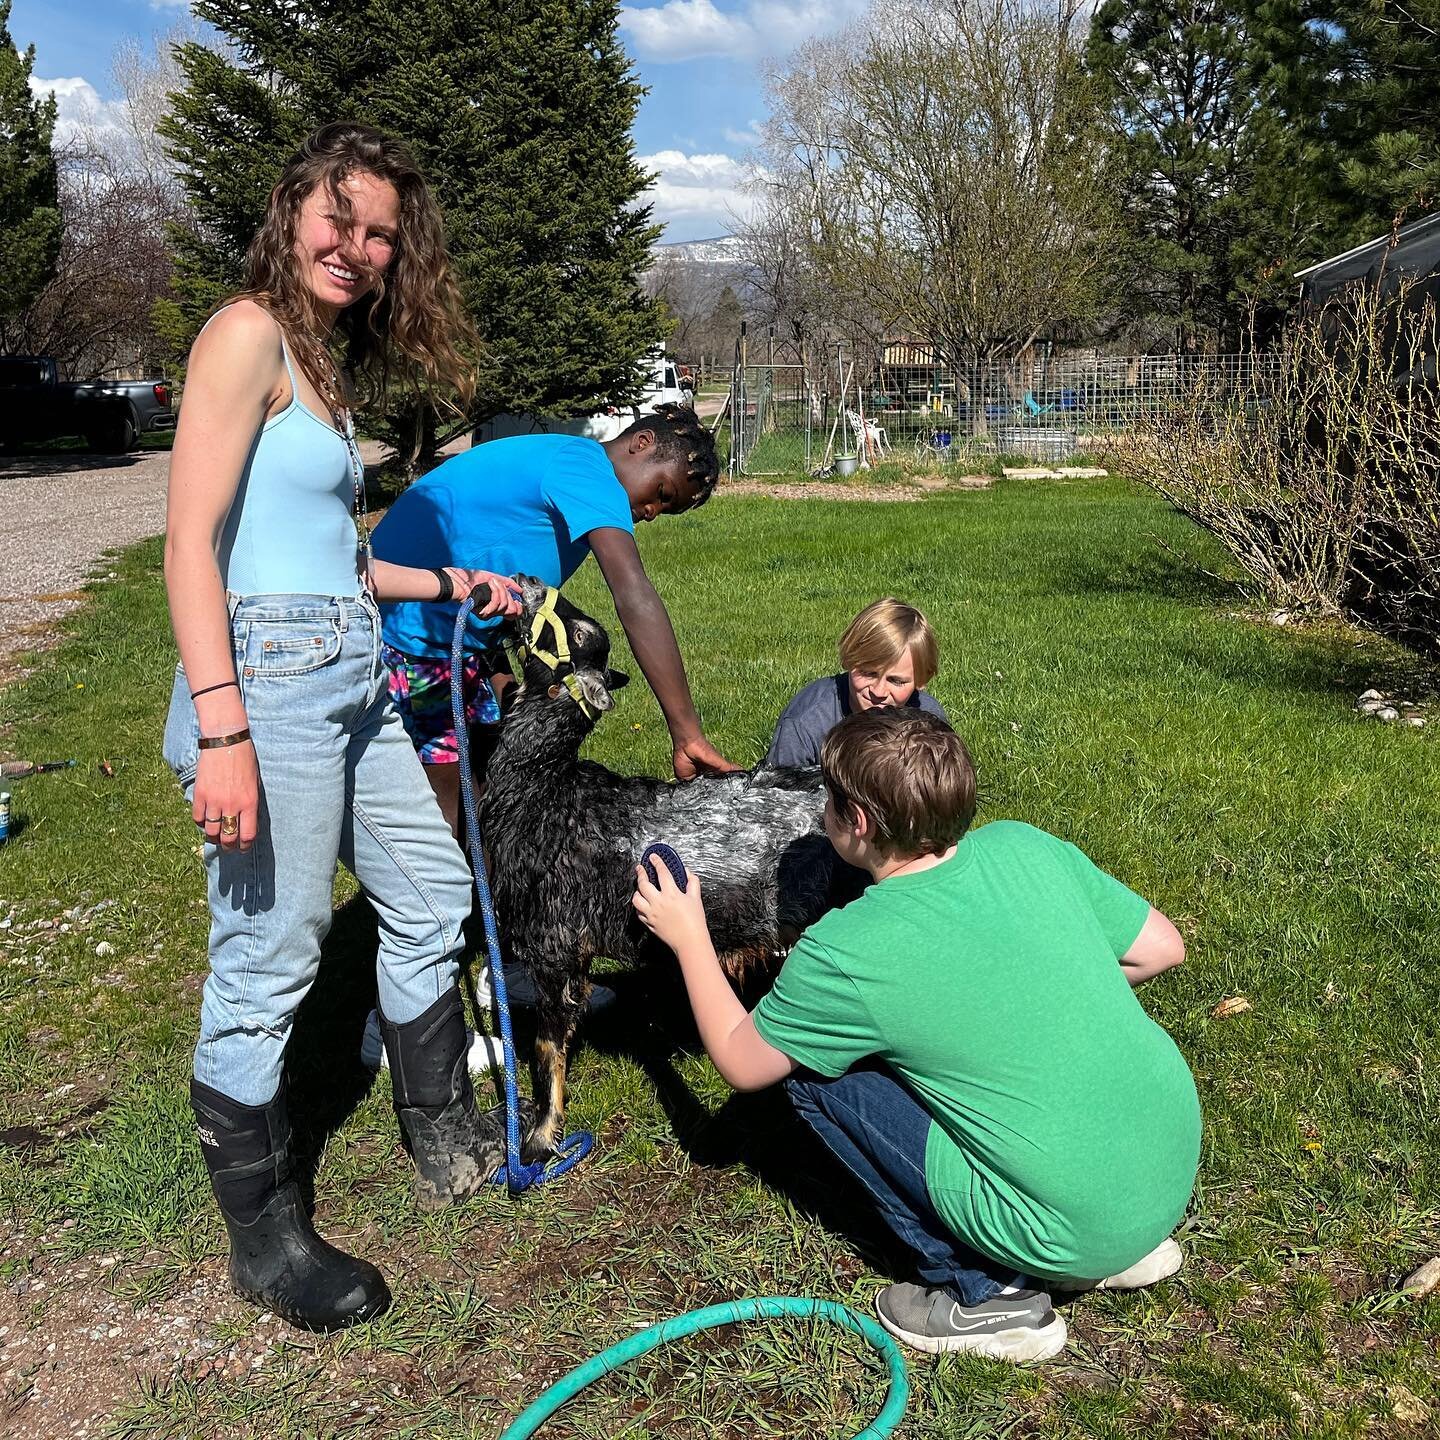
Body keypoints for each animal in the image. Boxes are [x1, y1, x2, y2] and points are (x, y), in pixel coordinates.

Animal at [478, 573, 840, 1157]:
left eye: (579, 631)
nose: (529, 581)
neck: (544, 789)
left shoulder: (554, 939)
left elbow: (548, 1044)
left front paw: (538, 1137)